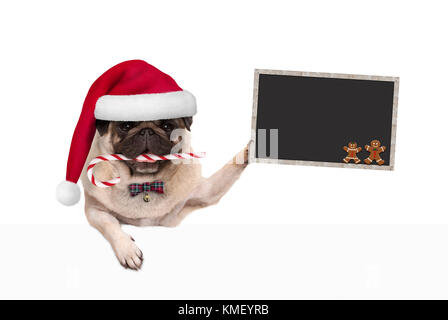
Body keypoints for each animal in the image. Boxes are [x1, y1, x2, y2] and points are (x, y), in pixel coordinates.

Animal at [80, 116, 248, 268]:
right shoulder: (94, 209)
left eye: (167, 126)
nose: (146, 131)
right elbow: (110, 224)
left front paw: (249, 150)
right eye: (126, 125)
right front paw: (127, 250)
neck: (145, 183)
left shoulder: (206, 192)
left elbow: (231, 167)